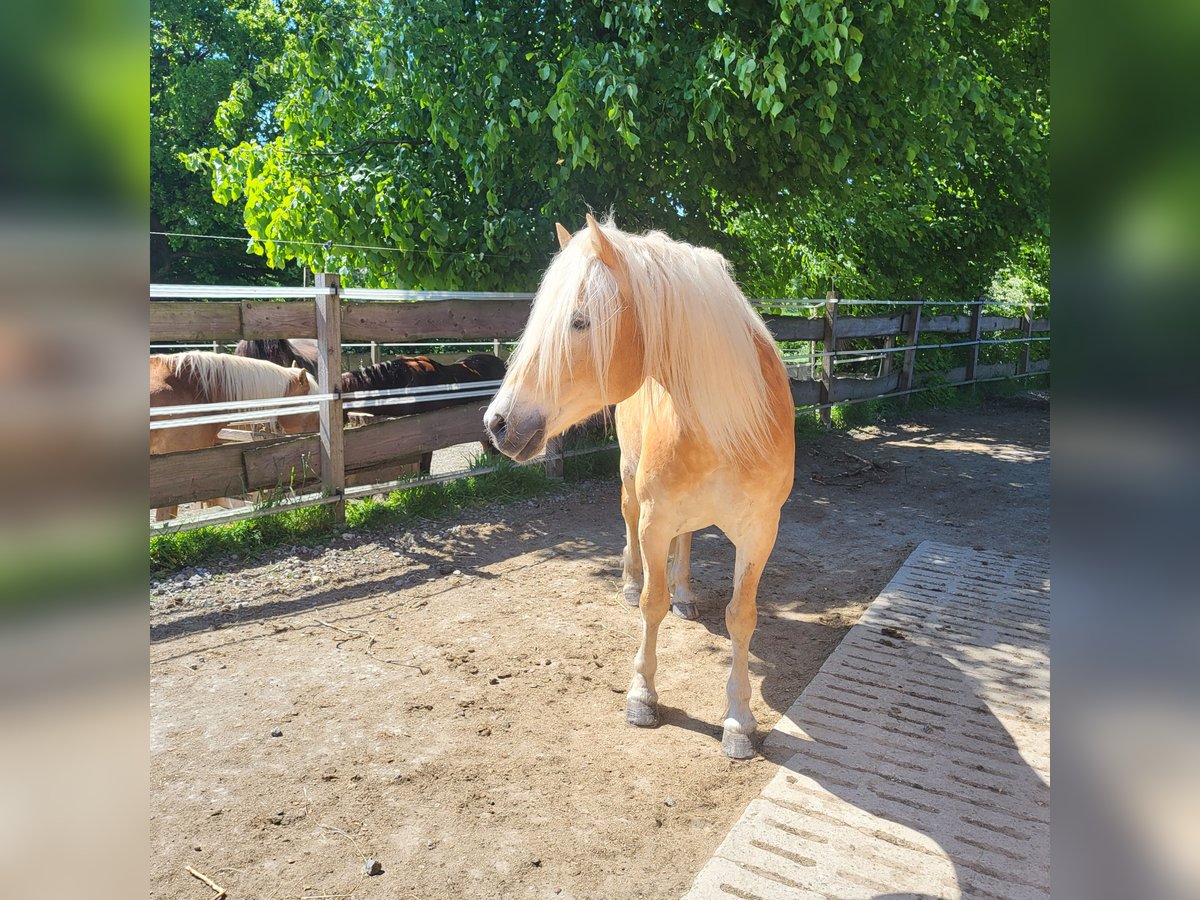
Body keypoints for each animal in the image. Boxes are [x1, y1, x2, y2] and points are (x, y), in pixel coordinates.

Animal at [482, 214, 792, 758]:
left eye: (580, 321)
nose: (497, 423)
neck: (731, 424)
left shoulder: (760, 532)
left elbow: (741, 616)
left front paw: (738, 720)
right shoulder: (654, 520)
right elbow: (652, 603)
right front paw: (642, 696)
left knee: (688, 542)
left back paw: (686, 593)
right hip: (629, 479)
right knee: (629, 528)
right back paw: (629, 583)